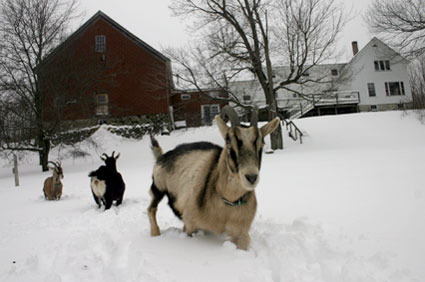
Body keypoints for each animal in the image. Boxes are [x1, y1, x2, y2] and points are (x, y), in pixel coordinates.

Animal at [147, 105, 280, 249]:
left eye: (261, 144)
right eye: (229, 144)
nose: (251, 177)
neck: (227, 204)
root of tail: (162, 156)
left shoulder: (241, 232)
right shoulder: (190, 224)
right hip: (158, 187)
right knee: (151, 208)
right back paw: (155, 233)